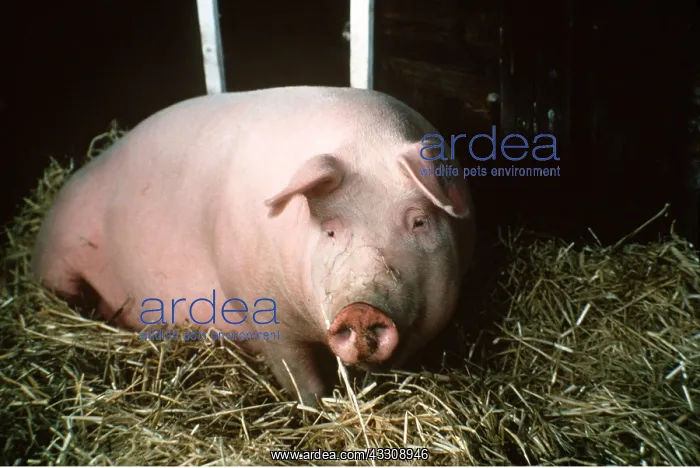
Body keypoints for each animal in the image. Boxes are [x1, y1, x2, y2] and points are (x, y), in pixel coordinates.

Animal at [32, 86, 476, 406]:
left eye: (418, 222)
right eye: (330, 231)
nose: (362, 310)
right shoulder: (262, 308)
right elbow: (297, 374)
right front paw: (318, 408)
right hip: (59, 256)